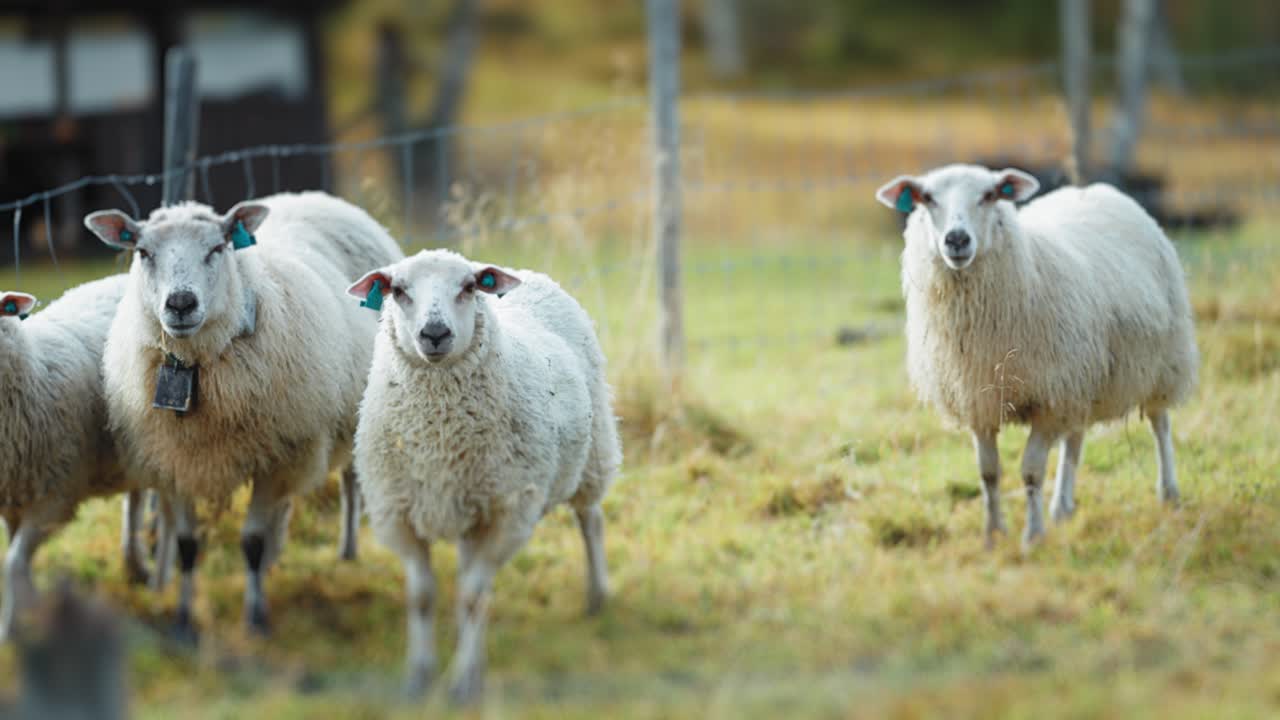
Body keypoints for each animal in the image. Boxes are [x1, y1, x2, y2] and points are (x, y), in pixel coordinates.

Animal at [0, 275, 151, 641]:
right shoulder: (12, 500)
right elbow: (15, 559)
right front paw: (25, 614)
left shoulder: (55, 497)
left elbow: (12, 563)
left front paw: (12, 631)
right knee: (136, 498)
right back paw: (134, 563)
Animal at [83, 191, 403, 638]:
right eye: (143, 252)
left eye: (218, 248)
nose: (180, 303)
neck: (192, 366)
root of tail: (314, 197)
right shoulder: (174, 461)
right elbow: (187, 545)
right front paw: (184, 619)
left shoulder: (275, 455)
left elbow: (251, 541)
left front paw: (255, 618)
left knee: (350, 482)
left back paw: (347, 551)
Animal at [347, 249, 621, 702]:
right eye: (398, 290)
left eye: (469, 287)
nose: (434, 333)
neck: (438, 434)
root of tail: (527, 272)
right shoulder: (398, 513)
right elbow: (423, 596)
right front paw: (420, 676)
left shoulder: (505, 515)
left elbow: (474, 597)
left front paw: (463, 682)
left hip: (593, 453)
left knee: (592, 520)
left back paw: (597, 594)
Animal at [875, 164, 1198, 549]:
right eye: (927, 198)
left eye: (989, 195)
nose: (957, 240)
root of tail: (1096, 190)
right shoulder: (980, 401)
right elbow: (988, 472)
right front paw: (993, 534)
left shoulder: (1048, 399)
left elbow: (1030, 471)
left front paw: (1032, 536)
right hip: (1082, 377)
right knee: (1075, 441)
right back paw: (1062, 507)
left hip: (1162, 360)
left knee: (1160, 424)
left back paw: (1168, 492)